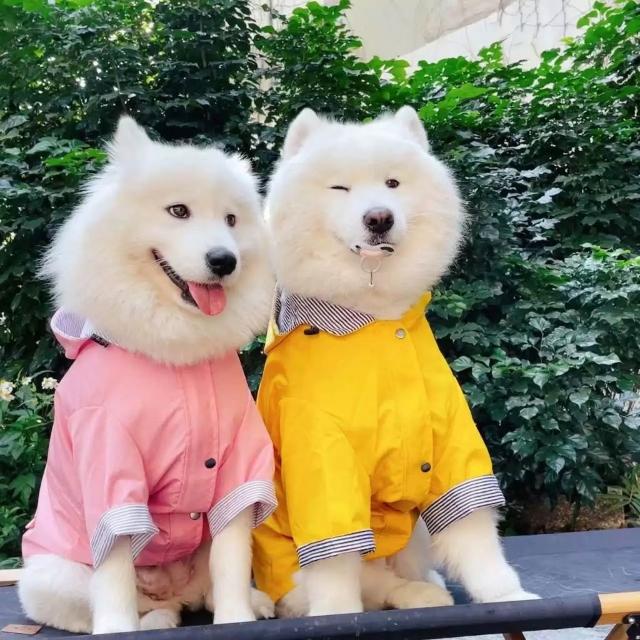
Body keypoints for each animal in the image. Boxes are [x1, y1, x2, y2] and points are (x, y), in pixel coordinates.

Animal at [18, 116, 277, 633]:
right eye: (178, 211)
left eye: (231, 220)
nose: (225, 260)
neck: (177, 358)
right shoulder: (110, 463)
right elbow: (115, 570)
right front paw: (118, 630)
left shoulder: (240, 463)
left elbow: (232, 557)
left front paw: (236, 617)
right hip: (51, 576)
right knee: (113, 603)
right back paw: (152, 619)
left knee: (205, 586)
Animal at [251, 106, 537, 616]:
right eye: (339, 188)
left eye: (392, 183)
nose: (379, 217)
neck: (376, 324)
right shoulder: (322, 460)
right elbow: (334, 567)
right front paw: (336, 617)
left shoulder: (451, 443)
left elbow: (474, 537)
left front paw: (507, 596)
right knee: (366, 583)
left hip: (414, 532)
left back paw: (424, 587)